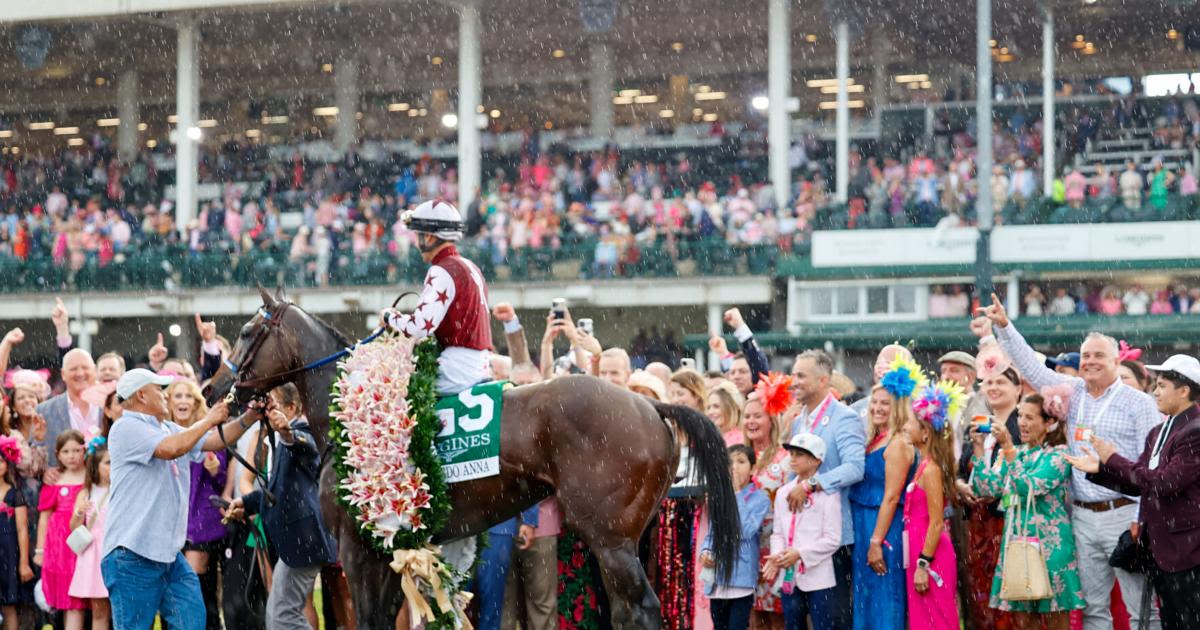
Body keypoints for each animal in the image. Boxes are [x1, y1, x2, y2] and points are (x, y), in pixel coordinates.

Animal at [208, 285, 739, 628]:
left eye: (247, 332)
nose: (215, 390)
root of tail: (649, 404)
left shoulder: (358, 546)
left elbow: (372, 619)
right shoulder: (391, 547)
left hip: (609, 539)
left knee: (642, 610)